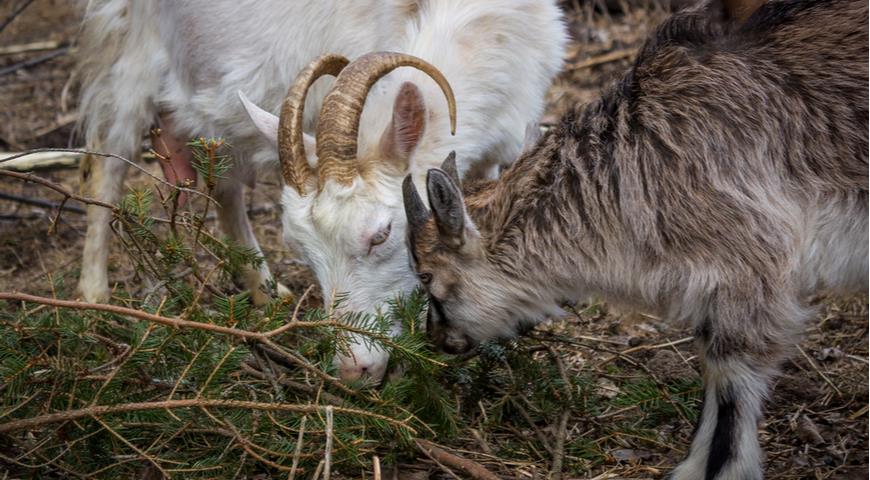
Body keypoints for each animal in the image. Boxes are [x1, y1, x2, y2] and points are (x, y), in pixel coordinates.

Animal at [73, 0, 564, 382]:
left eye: (382, 234)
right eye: (304, 251)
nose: (352, 370)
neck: (484, 27)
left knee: (225, 181)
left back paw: (265, 291)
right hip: (126, 47)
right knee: (106, 160)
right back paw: (93, 298)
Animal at [406, 0, 868, 478]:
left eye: (427, 277)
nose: (437, 340)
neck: (639, 158)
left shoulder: (752, 257)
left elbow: (730, 373)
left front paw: (717, 469)